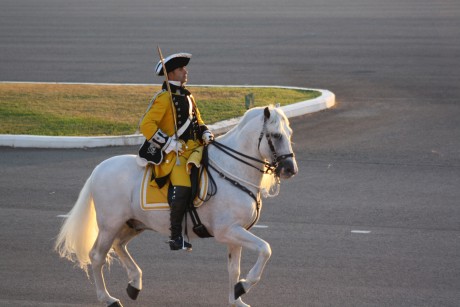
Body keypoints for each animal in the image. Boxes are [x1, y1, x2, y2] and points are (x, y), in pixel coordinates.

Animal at [54, 106, 298, 307]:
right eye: (276, 135)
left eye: (289, 134)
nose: (290, 169)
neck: (233, 170)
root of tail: (99, 168)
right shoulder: (227, 231)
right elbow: (265, 249)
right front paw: (243, 287)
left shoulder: (236, 233)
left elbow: (234, 268)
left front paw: (236, 298)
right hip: (110, 225)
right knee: (97, 256)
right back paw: (108, 298)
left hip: (132, 224)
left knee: (118, 246)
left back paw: (134, 284)